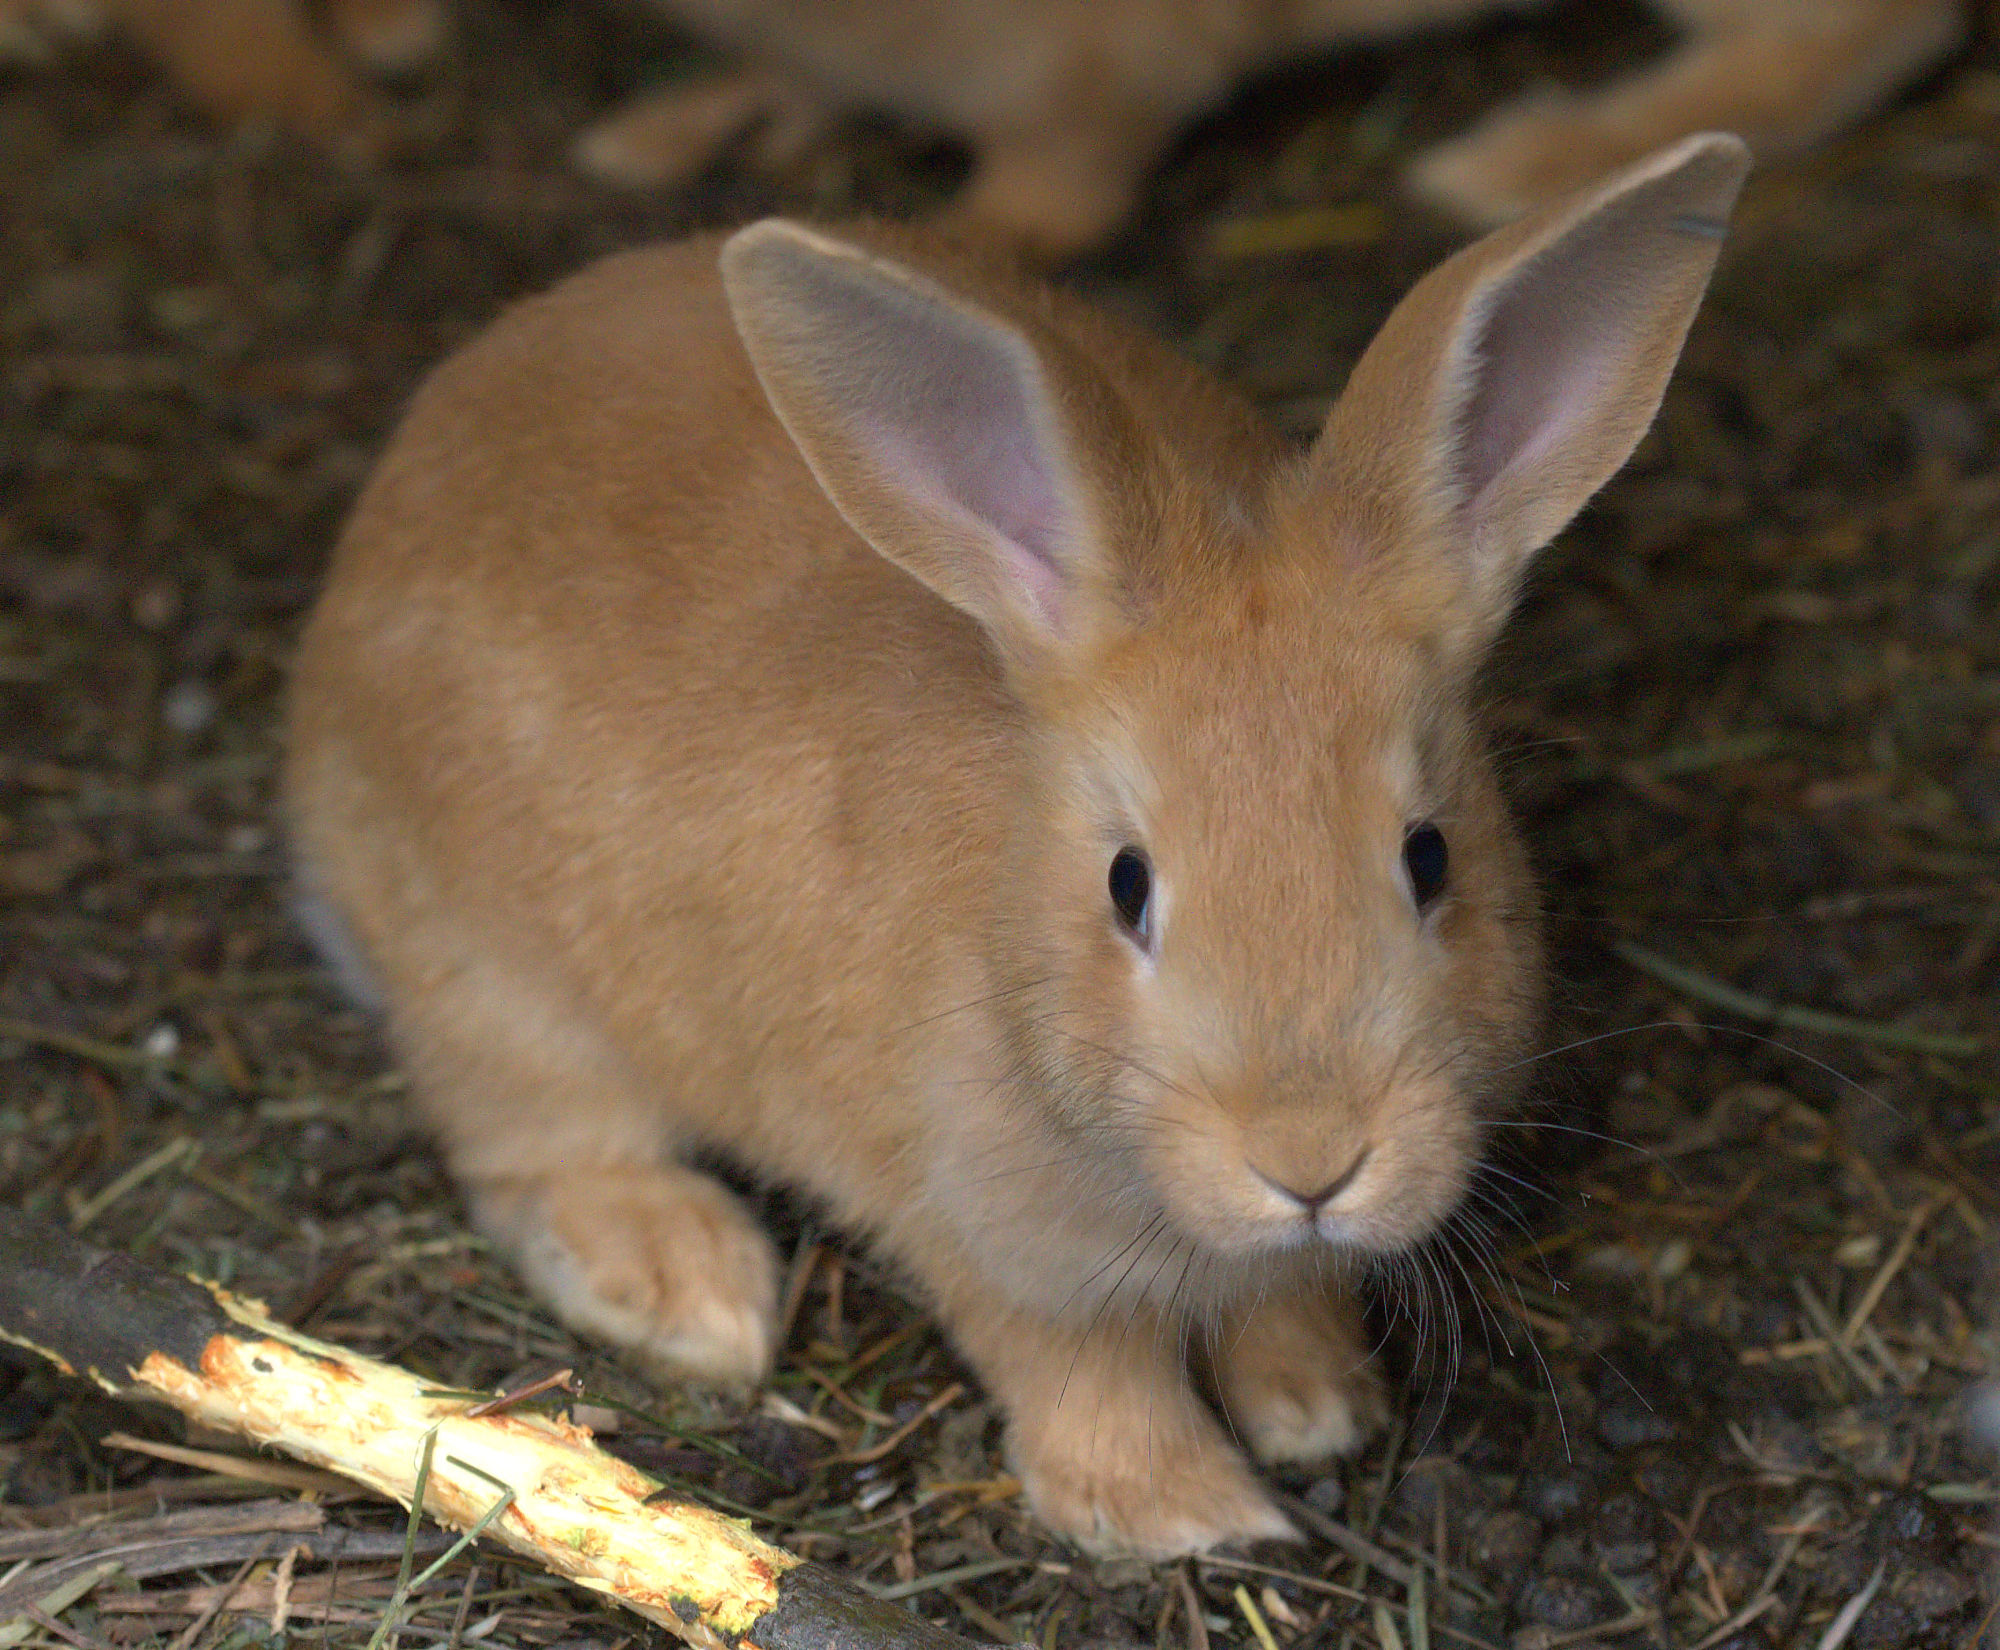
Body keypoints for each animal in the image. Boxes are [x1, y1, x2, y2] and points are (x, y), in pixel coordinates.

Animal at [285, 132, 1749, 1556]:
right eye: (1127, 886)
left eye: (1431, 855)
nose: (1310, 1160)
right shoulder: (986, 1235)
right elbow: (1077, 1370)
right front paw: (1183, 1514)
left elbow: (1281, 1312)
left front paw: (1317, 1409)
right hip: (494, 976)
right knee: (532, 1142)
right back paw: (682, 1283)